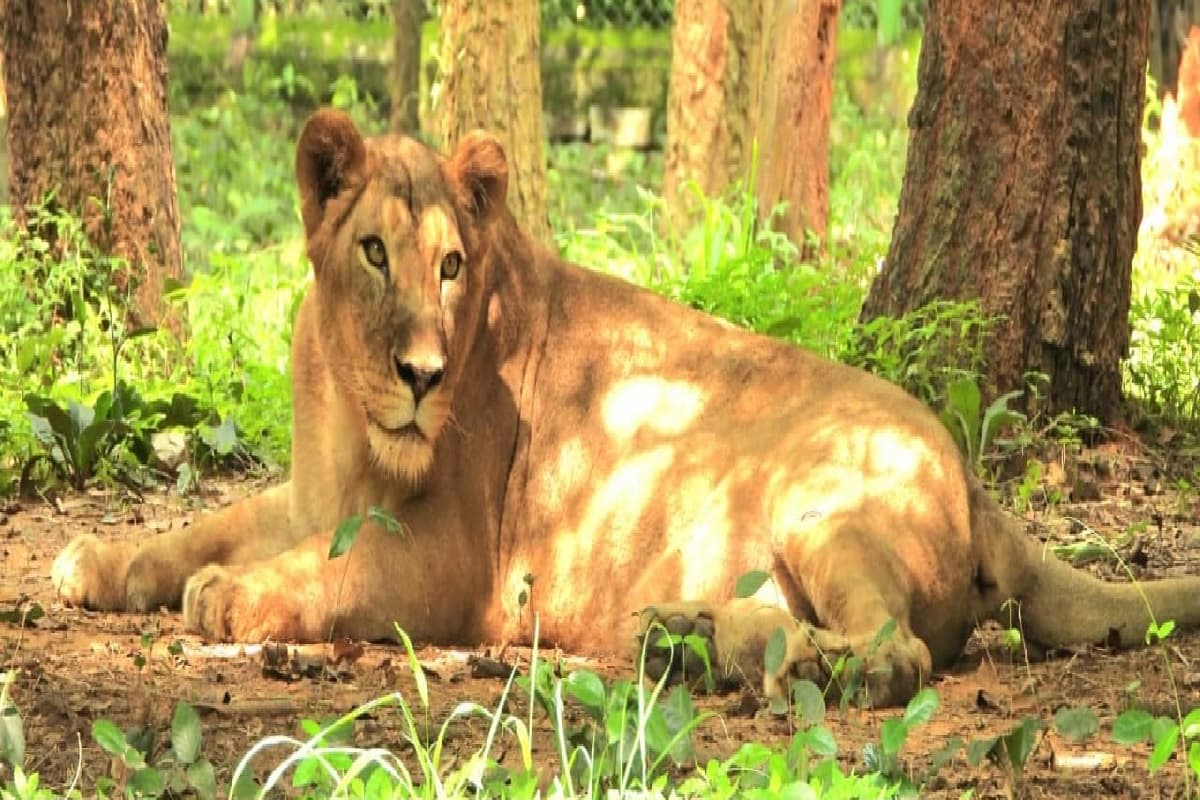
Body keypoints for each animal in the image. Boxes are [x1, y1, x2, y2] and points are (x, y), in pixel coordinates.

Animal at [51, 109, 1200, 707]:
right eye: (375, 252)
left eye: (452, 266)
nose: (423, 376)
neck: (346, 397)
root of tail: (972, 474)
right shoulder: (313, 494)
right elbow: (202, 524)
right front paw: (98, 562)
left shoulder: (452, 565)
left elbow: (326, 576)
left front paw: (227, 596)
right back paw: (687, 637)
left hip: (821, 503)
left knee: (896, 654)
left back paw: (733, 656)